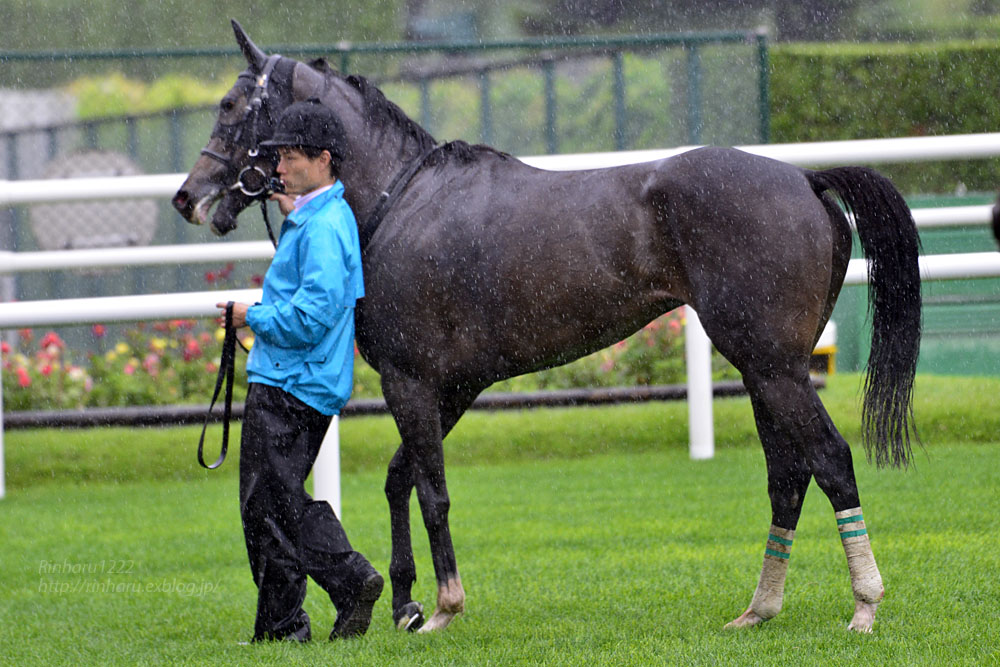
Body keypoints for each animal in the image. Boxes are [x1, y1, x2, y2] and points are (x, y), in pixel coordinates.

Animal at [174, 22, 920, 636]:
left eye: (231, 105)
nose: (189, 196)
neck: (402, 199)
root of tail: (806, 178)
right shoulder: (452, 386)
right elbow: (400, 478)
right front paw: (405, 601)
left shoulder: (412, 380)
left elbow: (431, 490)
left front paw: (443, 607)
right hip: (768, 369)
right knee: (788, 476)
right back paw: (760, 608)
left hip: (773, 366)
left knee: (831, 460)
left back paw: (864, 603)